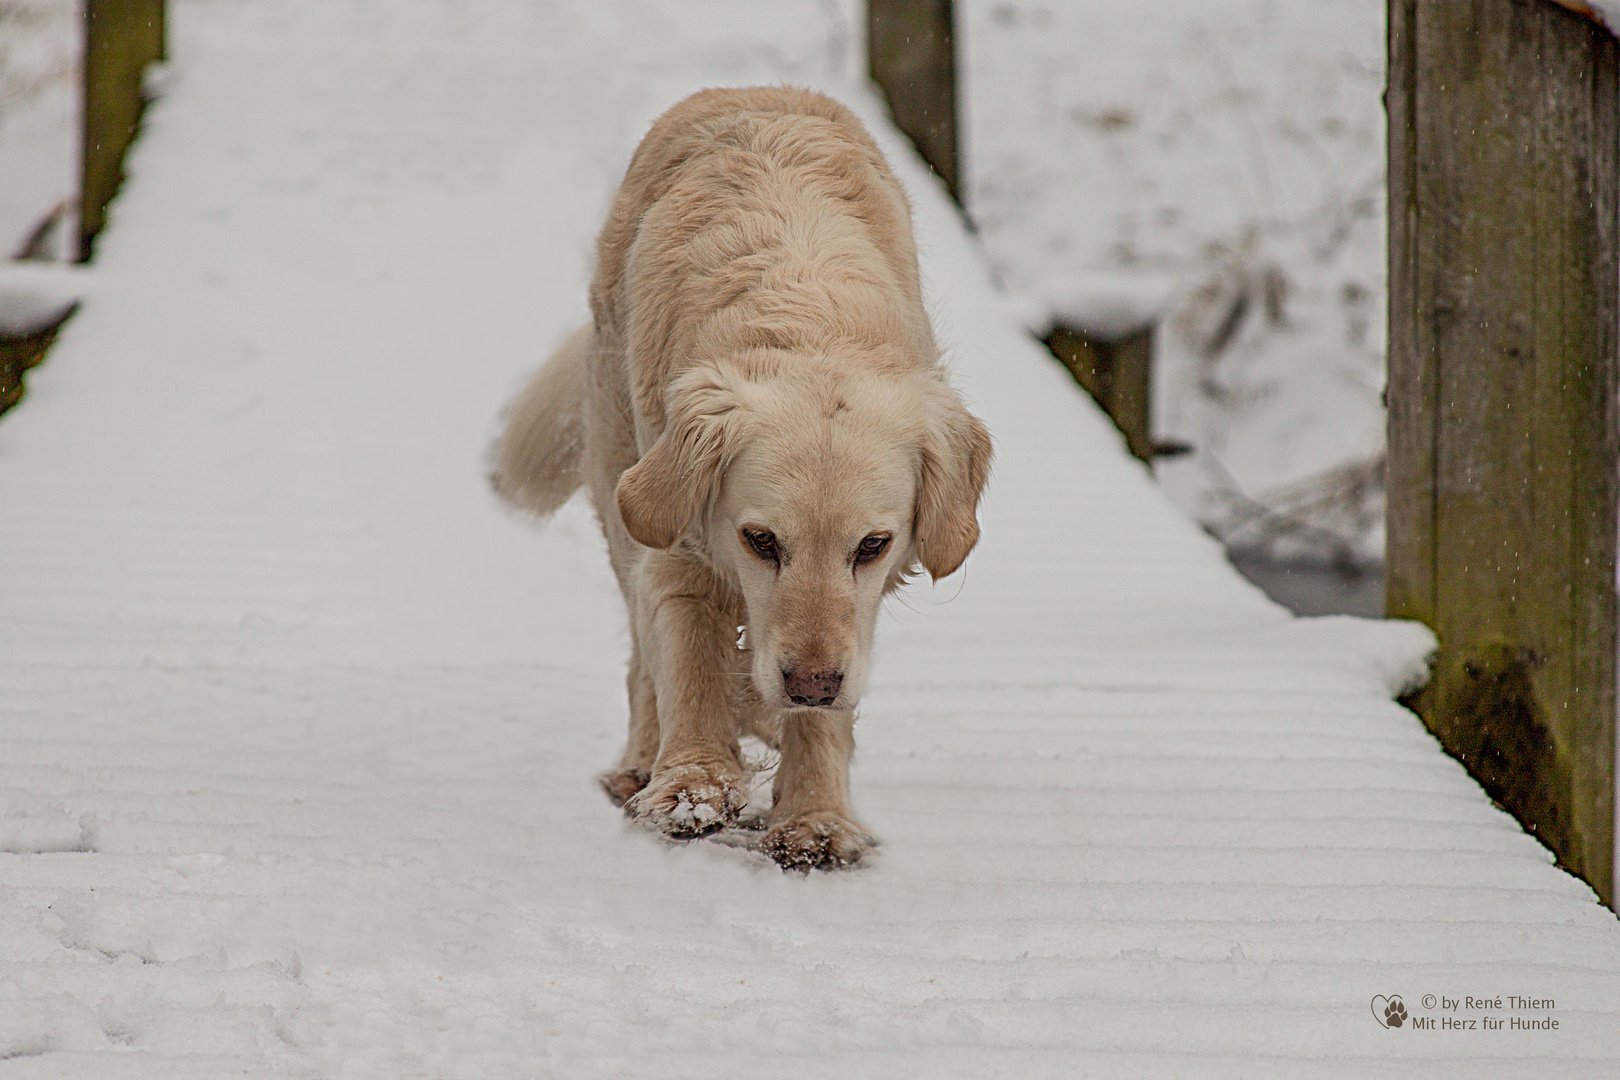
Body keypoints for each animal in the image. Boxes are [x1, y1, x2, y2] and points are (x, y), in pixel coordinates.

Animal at [489, 88, 984, 874]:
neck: (807, 325)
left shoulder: (857, 611)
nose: (810, 683)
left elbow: (825, 711)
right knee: (642, 656)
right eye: (761, 540)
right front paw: (692, 783)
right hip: (619, 480)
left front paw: (815, 816)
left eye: (872, 546)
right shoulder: (678, 531)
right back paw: (643, 762)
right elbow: (687, 654)